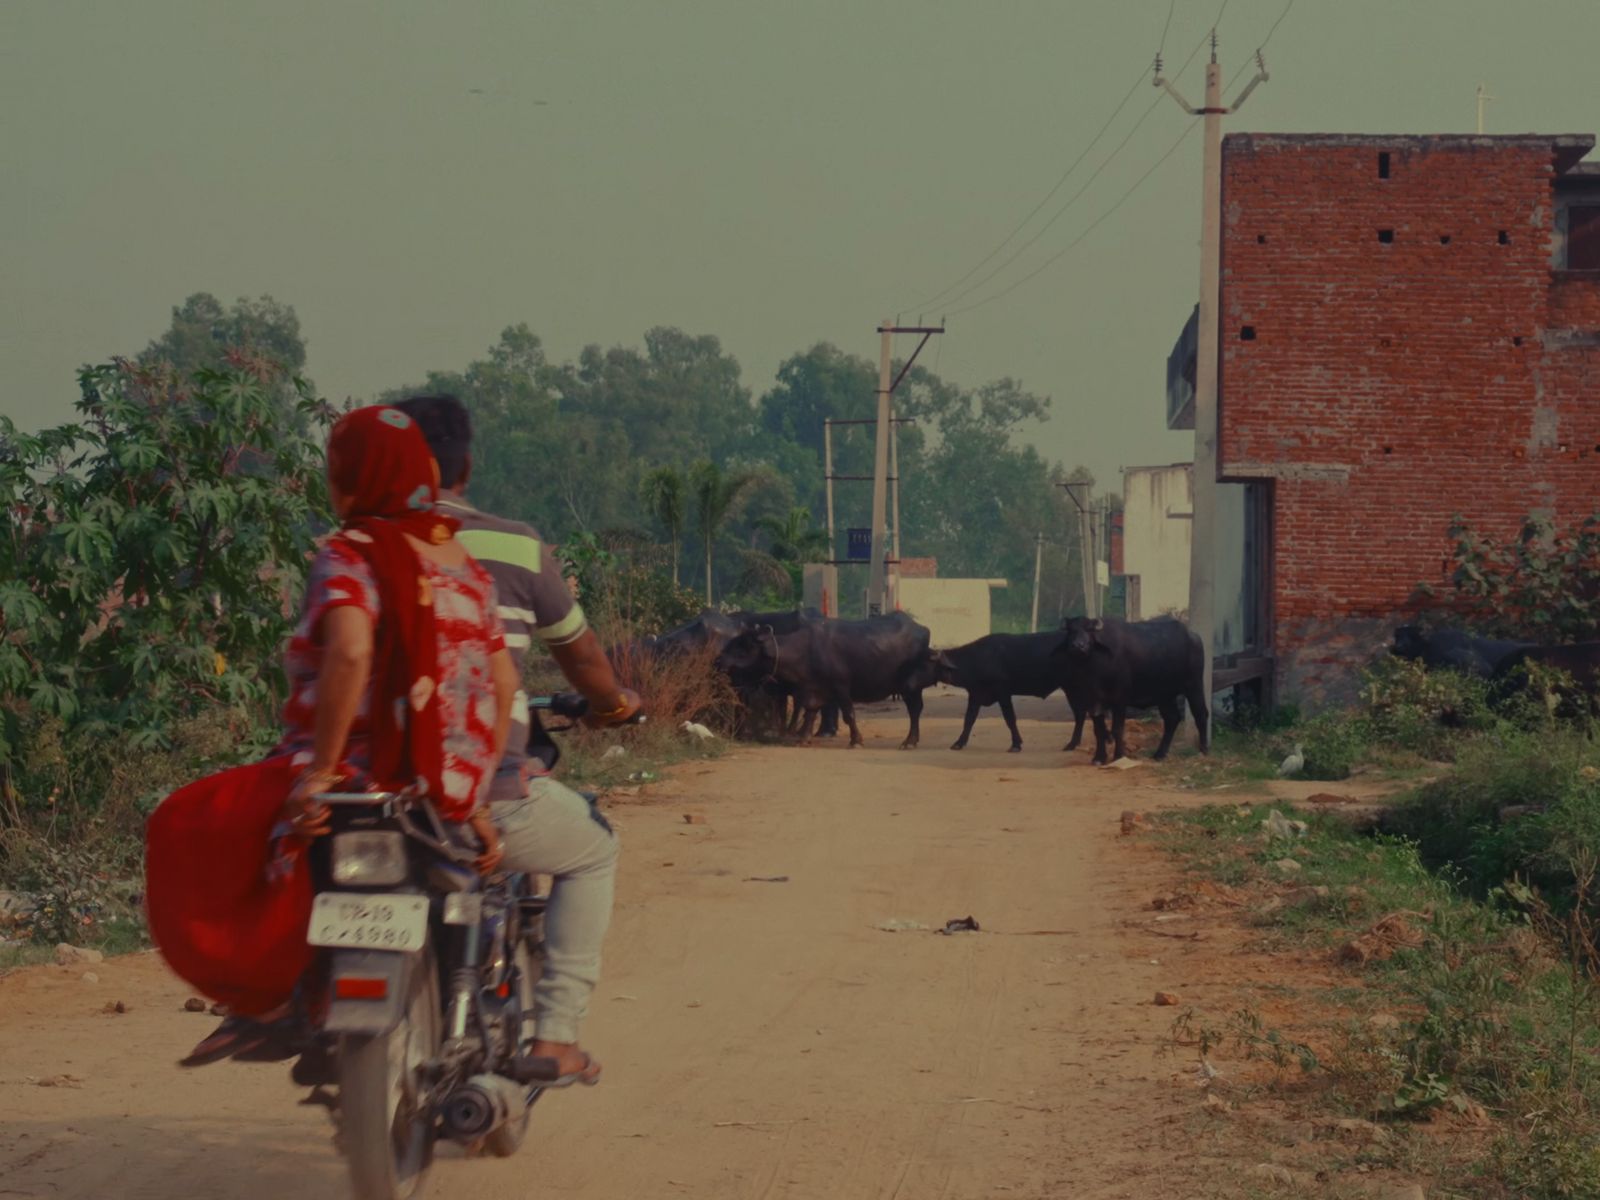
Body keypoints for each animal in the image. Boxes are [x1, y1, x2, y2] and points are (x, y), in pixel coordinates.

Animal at [716, 614, 934, 748]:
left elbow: (849, 715)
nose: (718, 659)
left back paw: (909, 741)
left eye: (744, 645)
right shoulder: (813, 689)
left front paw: (856, 740)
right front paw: (803, 737)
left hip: (910, 687)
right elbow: (810, 712)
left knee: (914, 710)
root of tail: (921, 628)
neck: (806, 652)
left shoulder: (841, 687)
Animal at [928, 640, 1088, 752]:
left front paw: (1016, 744)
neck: (977, 659)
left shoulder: (1003, 693)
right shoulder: (975, 694)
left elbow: (1010, 718)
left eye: (927, 661)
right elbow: (969, 719)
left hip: (1074, 688)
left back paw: (1072, 744)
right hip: (1071, 688)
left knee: (1080, 714)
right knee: (1080, 714)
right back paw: (1073, 744)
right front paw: (958, 743)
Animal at [1049, 620, 1209, 761]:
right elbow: (1099, 730)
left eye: (1090, 630)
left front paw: (1119, 756)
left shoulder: (1119, 700)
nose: (1078, 646)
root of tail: (1193, 636)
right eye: (1071, 631)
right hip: (1165, 695)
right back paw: (1159, 754)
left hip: (1194, 685)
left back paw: (1203, 750)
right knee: (1172, 718)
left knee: (1201, 714)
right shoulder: (1093, 702)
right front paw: (1099, 758)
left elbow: (1117, 729)